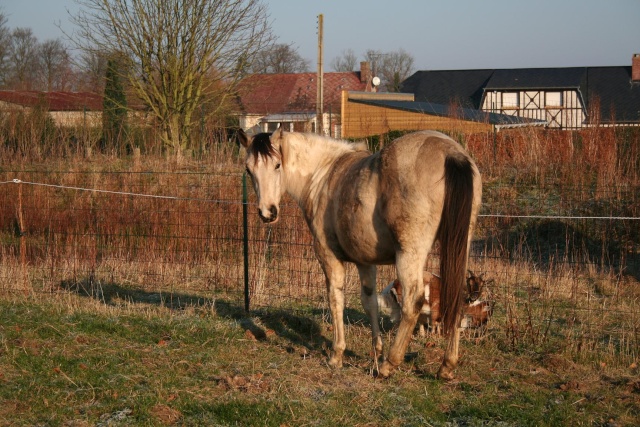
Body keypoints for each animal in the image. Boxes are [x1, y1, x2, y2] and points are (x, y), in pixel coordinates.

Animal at [240, 128, 480, 382]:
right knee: (457, 296)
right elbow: (369, 302)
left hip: (410, 254)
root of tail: (451, 153)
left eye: (277, 165)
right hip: (459, 249)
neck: (323, 174)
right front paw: (376, 350)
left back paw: (388, 365)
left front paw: (337, 355)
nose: (267, 213)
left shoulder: (329, 258)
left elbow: (336, 300)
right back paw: (446, 366)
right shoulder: (365, 262)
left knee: (412, 302)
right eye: (249, 169)